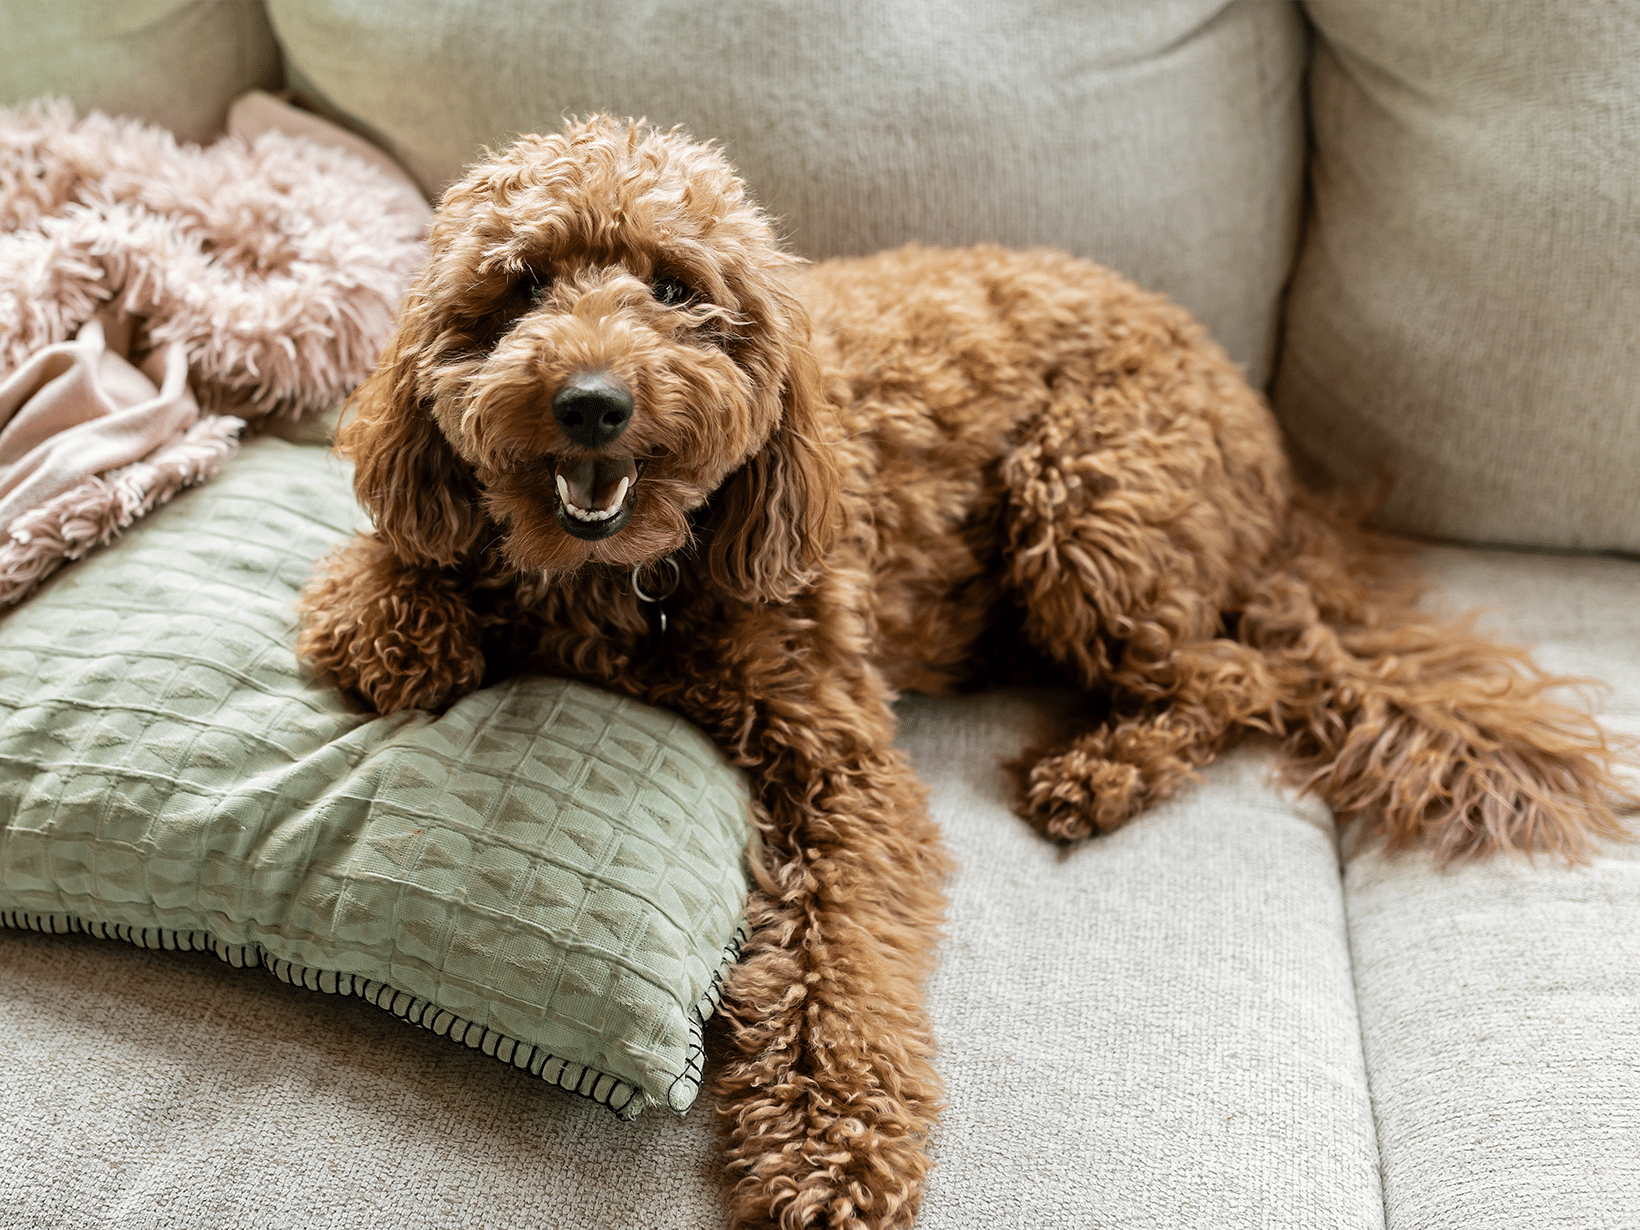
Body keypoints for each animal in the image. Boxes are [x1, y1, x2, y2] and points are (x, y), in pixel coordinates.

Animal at [298, 115, 1640, 1230]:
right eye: (520, 287)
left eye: (675, 289)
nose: (589, 403)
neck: (622, 579)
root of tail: (1274, 461)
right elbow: (388, 571)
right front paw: (396, 621)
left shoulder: (840, 769)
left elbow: (840, 967)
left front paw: (831, 1150)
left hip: (1087, 501)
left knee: (1231, 679)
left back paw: (1099, 775)